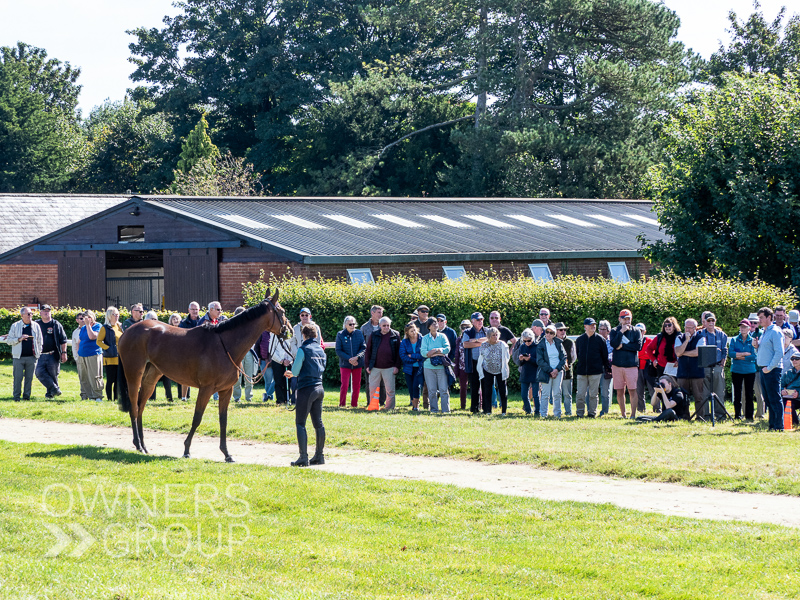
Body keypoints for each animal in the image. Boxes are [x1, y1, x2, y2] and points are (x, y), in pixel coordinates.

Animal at [117, 288, 292, 462]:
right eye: (282, 311)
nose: (289, 330)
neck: (225, 345)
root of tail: (127, 331)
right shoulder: (206, 389)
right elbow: (197, 418)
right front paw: (187, 449)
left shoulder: (226, 390)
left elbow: (223, 420)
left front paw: (226, 453)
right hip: (134, 375)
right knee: (134, 407)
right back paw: (138, 444)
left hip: (151, 377)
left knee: (140, 407)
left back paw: (143, 445)